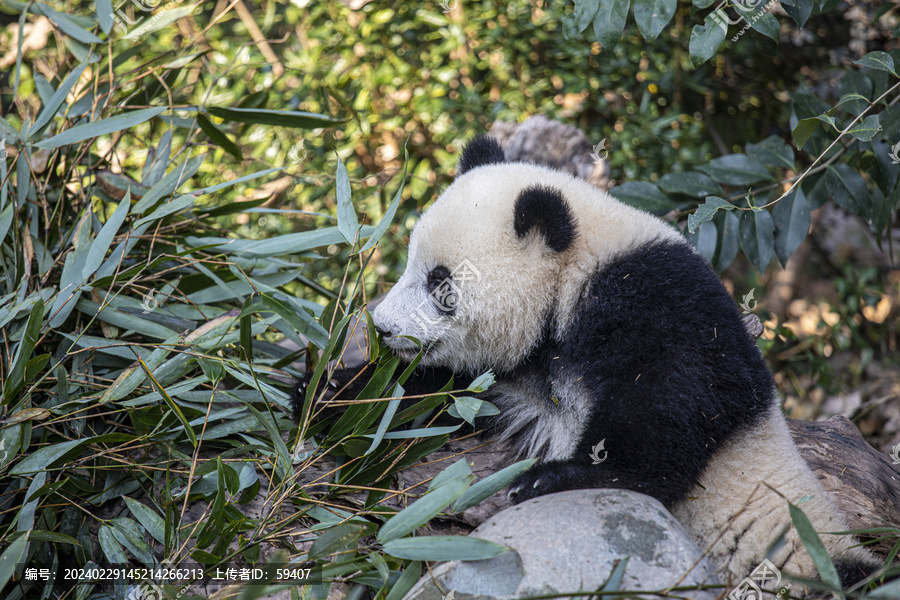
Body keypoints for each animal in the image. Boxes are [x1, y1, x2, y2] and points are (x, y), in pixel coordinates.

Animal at [292, 135, 884, 592]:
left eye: (441, 284)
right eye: (410, 262)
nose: (384, 328)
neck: (574, 274)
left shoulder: (661, 306)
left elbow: (672, 417)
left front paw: (555, 478)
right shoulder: (508, 373)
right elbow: (431, 395)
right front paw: (328, 396)